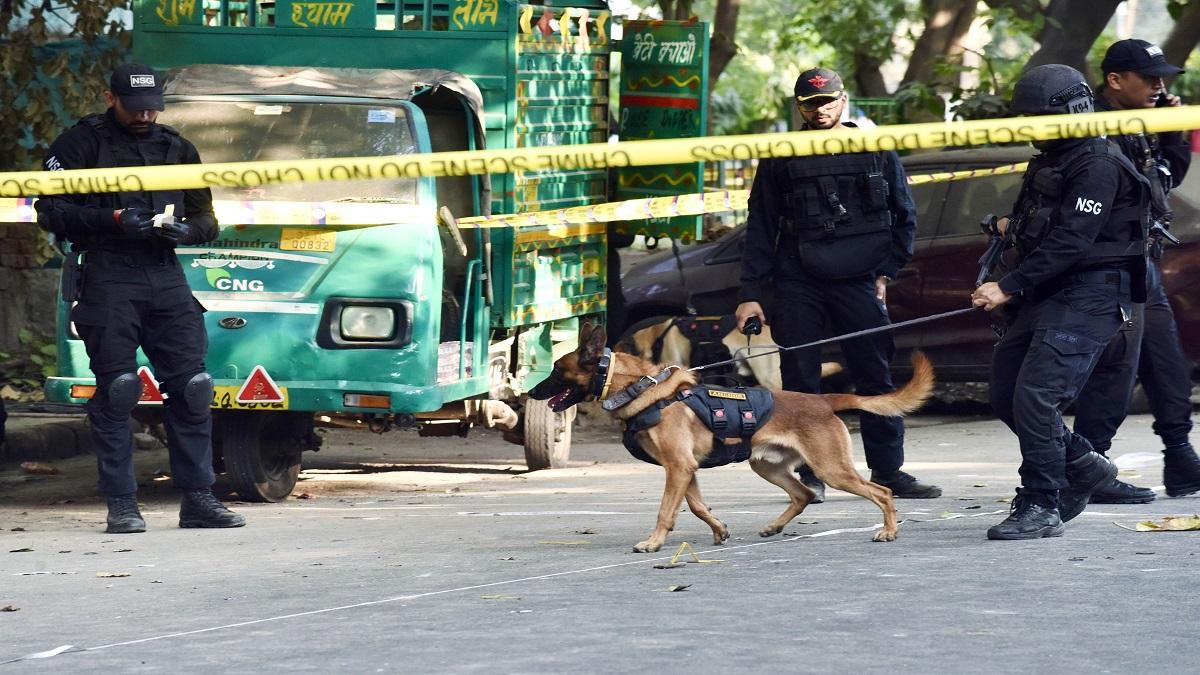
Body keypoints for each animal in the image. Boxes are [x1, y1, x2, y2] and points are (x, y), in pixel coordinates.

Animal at [530, 321, 931, 552]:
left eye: (556, 370)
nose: (530, 393)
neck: (642, 389)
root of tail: (823, 399)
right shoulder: (686, 470)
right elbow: (696, 506)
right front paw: (720, 531)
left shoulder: (678, 467)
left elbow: (666, 510)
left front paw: (654, 542)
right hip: (767, 467)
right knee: (802, 494)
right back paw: (774, 527)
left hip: (831, 469)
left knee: (882, 492)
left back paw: (888, 531)